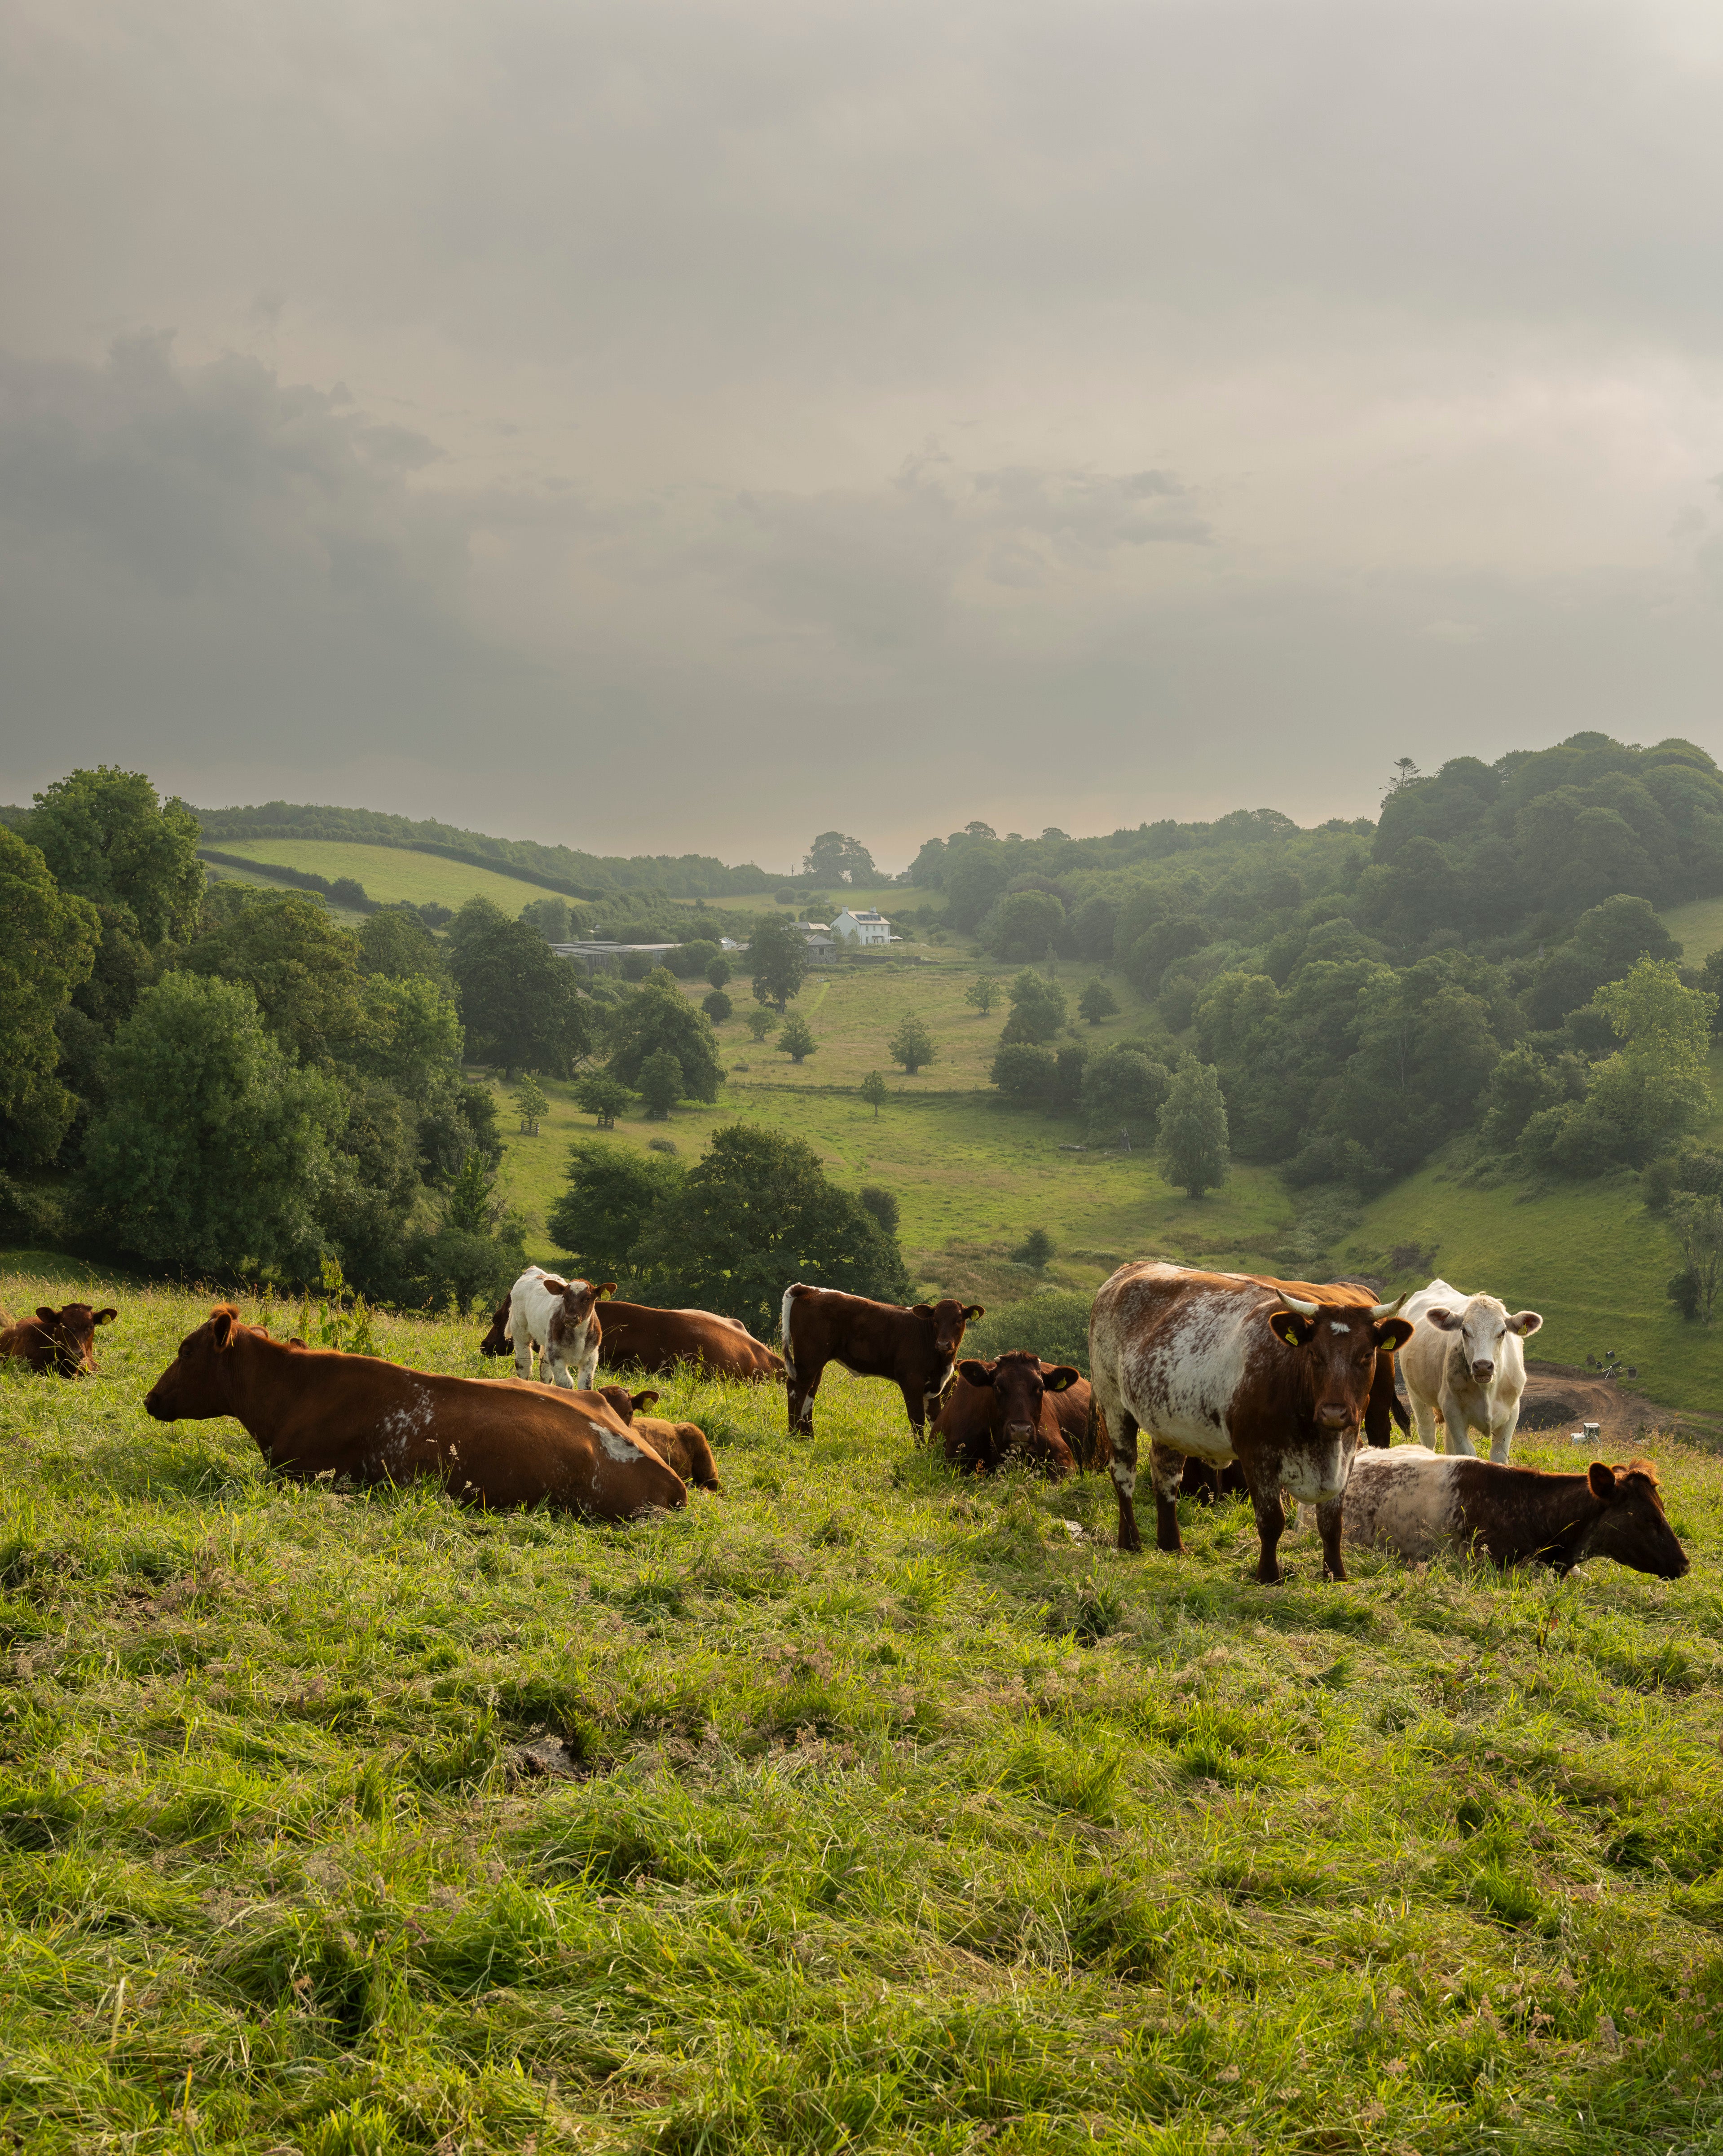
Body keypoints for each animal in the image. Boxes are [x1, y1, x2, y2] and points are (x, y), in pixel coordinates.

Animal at [505, 1268, 614, 1390]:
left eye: (587, 1299)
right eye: (565, 1297)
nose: (571, 1317)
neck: (578, 1335)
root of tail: (532, 1269)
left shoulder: (591, 1357)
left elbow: (585, 1385)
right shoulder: (555, 1355)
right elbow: (566, 1384)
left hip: (546, 1341)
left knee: (545, 1369)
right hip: (520, 1328)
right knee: (524, 1363)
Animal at [781, 1285, 985, 1439]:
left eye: (958, 1320)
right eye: (935, 1320)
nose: (943, 1344)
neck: (942, 1362)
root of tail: (809, 1289)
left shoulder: (936, 1386)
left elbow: (936, 1418)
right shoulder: (911, 1381)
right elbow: (917, 1419)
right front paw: (920, 1451)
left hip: (817, 1361)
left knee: (810, 1393)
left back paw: (808, 1438)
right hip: (809, 1358)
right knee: (797, 1389)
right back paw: (793, 1436)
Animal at [1087, 1262, 1414, 1583]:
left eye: (1366, 1355)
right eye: (1313, 1354)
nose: (1334, 1413)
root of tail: (1133, 1267)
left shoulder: (1346, 1453)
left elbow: (1332, 1523)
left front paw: (1335, 1574)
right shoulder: (1257, 1454)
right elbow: (1271, 1520)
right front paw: (1268, 1575)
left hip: (1167, 1421)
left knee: (1165, 1475)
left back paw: (1170, 1545)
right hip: (1113, 1405)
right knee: (1124, 1472)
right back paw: (1129, 1542)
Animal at [1399, 1278, 1543, 1464]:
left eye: (1503, 1332)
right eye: (1465, 1331)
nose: (1483, 1365)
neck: (1487, 1391)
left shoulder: (1511, 1413)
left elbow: (1498, 1456)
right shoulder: (1453, 1410)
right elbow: (1466, 1452)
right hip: (1416, 1394)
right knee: (1428, 1434)